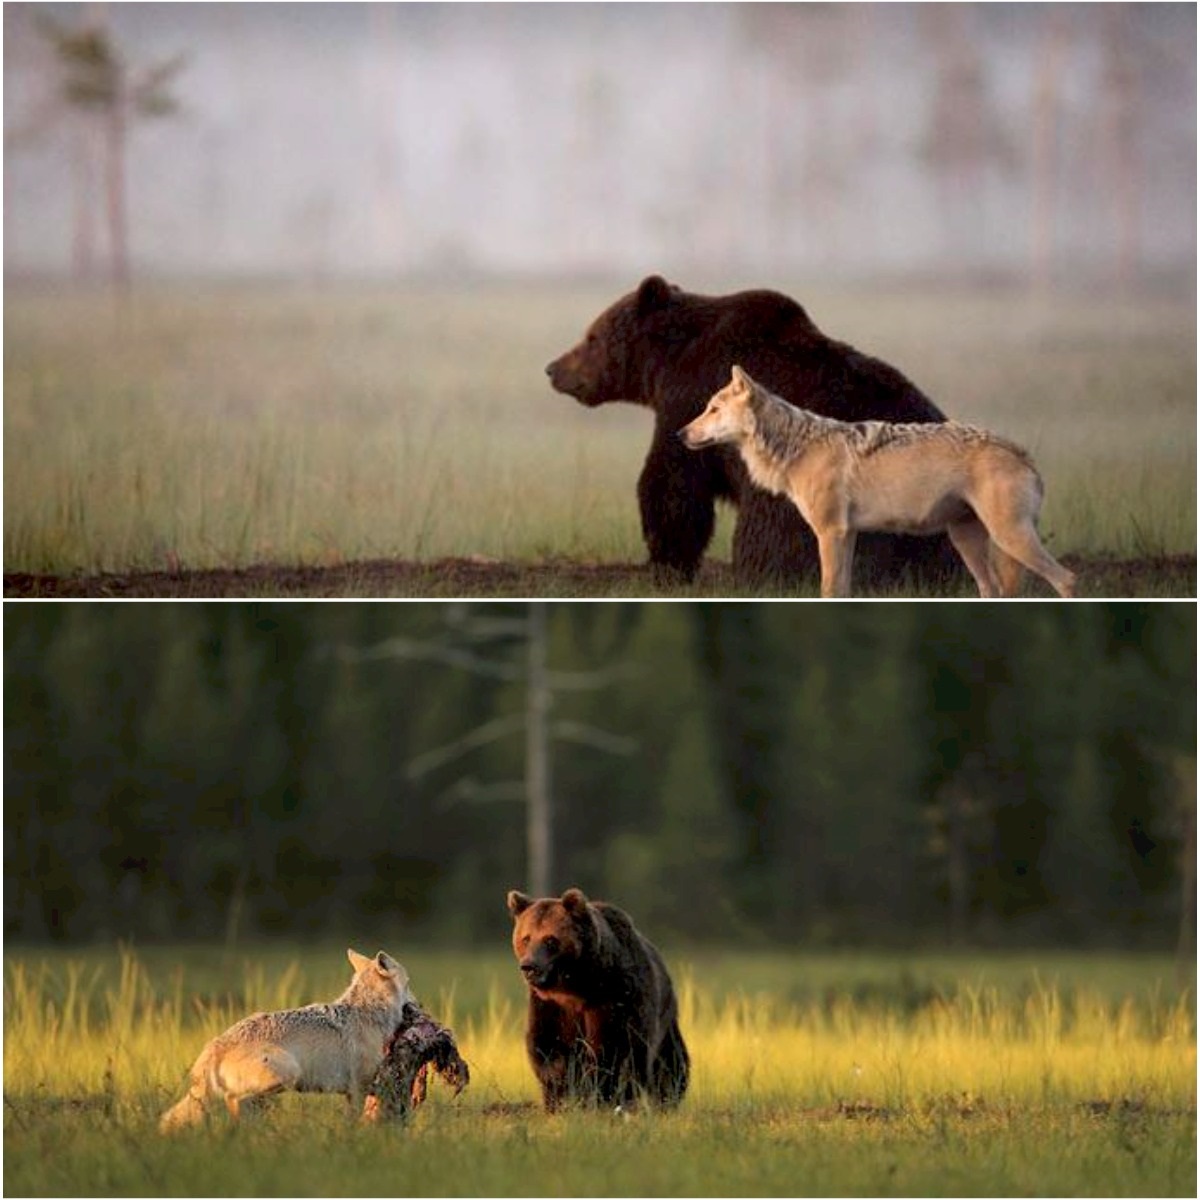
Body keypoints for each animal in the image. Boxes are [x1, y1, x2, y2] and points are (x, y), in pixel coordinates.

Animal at [160, 945, 412, 1132]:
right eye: (409, 984)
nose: (416, 1005)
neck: (370, 1012)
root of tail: (216, 1044)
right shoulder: (359, 1088)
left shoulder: (353, 1092)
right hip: (286, 1074)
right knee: (234, 1100)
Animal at [544, 273, 955, 590]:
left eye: (592, 336)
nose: (553, 368)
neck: (670, 361)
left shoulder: (689, 400)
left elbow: (673, 484)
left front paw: (667, 565)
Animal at [676, 357, 1080, 597]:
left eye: (713, 409)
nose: (679, 434)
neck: (797, 447)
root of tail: (1021, 452)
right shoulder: (847, 534)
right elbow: (841, 590)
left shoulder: (831, 533)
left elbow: (828, 589)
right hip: (969, 541)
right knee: (994, 589)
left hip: (1009, 538)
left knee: (1067, 578)